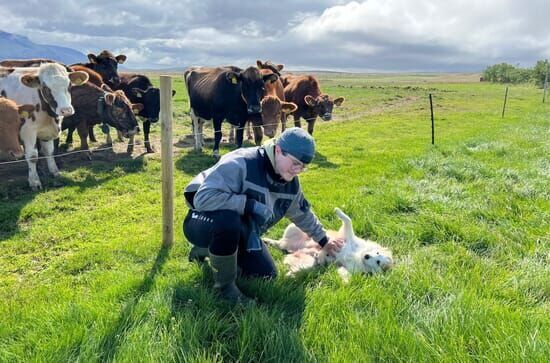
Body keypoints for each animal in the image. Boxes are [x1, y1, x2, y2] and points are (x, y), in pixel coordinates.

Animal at [0, 63, 88, 191]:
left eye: (70, 85)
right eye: (46, 88)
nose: (66, 110)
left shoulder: (46, 132)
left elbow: (49, 151)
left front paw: (54, 172)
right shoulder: (27, 131)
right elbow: (32, 156)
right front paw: (34, 181)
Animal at [266, 208, 394, 282]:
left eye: (378, 262)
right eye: (377, 252)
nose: (367, 256)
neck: (358, 254)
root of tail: (290, 247)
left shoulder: (347, 267)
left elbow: (344, 274)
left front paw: (345, 281)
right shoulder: (348, 236)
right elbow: (348, 220)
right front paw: (338, 211)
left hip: (308, 262)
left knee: (282, 248)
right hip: (294, 226)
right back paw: (266, 240)